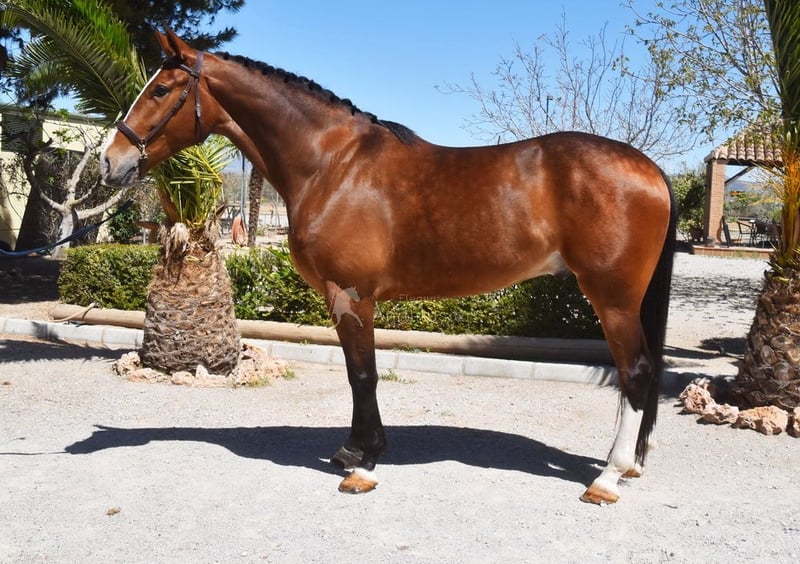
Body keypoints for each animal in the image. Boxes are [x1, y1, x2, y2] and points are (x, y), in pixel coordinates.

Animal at [100, 30, 676, 505]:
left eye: (160, 90)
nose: (110, 160)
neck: (332, 165)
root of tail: (648, 168)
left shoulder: (354, 294)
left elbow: (364, 373)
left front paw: (365, 464)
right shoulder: (342, 297)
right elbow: (358, 375)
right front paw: (353, 450)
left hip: (612, 298)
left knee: (635, 372)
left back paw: (608, 477)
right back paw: (629, 468)